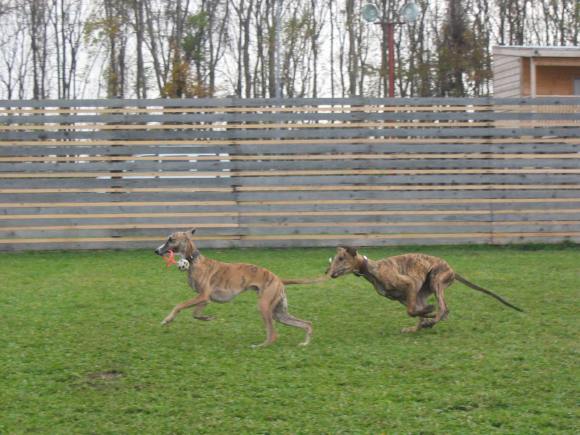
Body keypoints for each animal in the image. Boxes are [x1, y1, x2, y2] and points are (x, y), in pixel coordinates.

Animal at [154, 232, 314, 348]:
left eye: (171, 239)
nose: (156, 251)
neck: (194, 260)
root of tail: (279, 279)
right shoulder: (204, 299)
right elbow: (196, 314)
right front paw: (207, 318)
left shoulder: (203, 296)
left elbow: (179, 305)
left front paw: (167, 320)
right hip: (279, 313)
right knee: (307, 323)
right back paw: (304, 342)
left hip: (264, 307)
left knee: (273, 334)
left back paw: (259, 346)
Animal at [328, 245, 524, 334]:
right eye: (335, 259)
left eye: (341, 258)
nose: (328, 273)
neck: (372, 268)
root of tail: (452, 270)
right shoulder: (405, 297)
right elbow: (415, 312)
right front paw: (424, 318)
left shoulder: (410, 285)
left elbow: (413, 311)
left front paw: (429, 314)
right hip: (424, 291)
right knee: (438, 311)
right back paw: (420, 325)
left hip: (436, 280)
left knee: (444, 308)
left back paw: (431, 319)